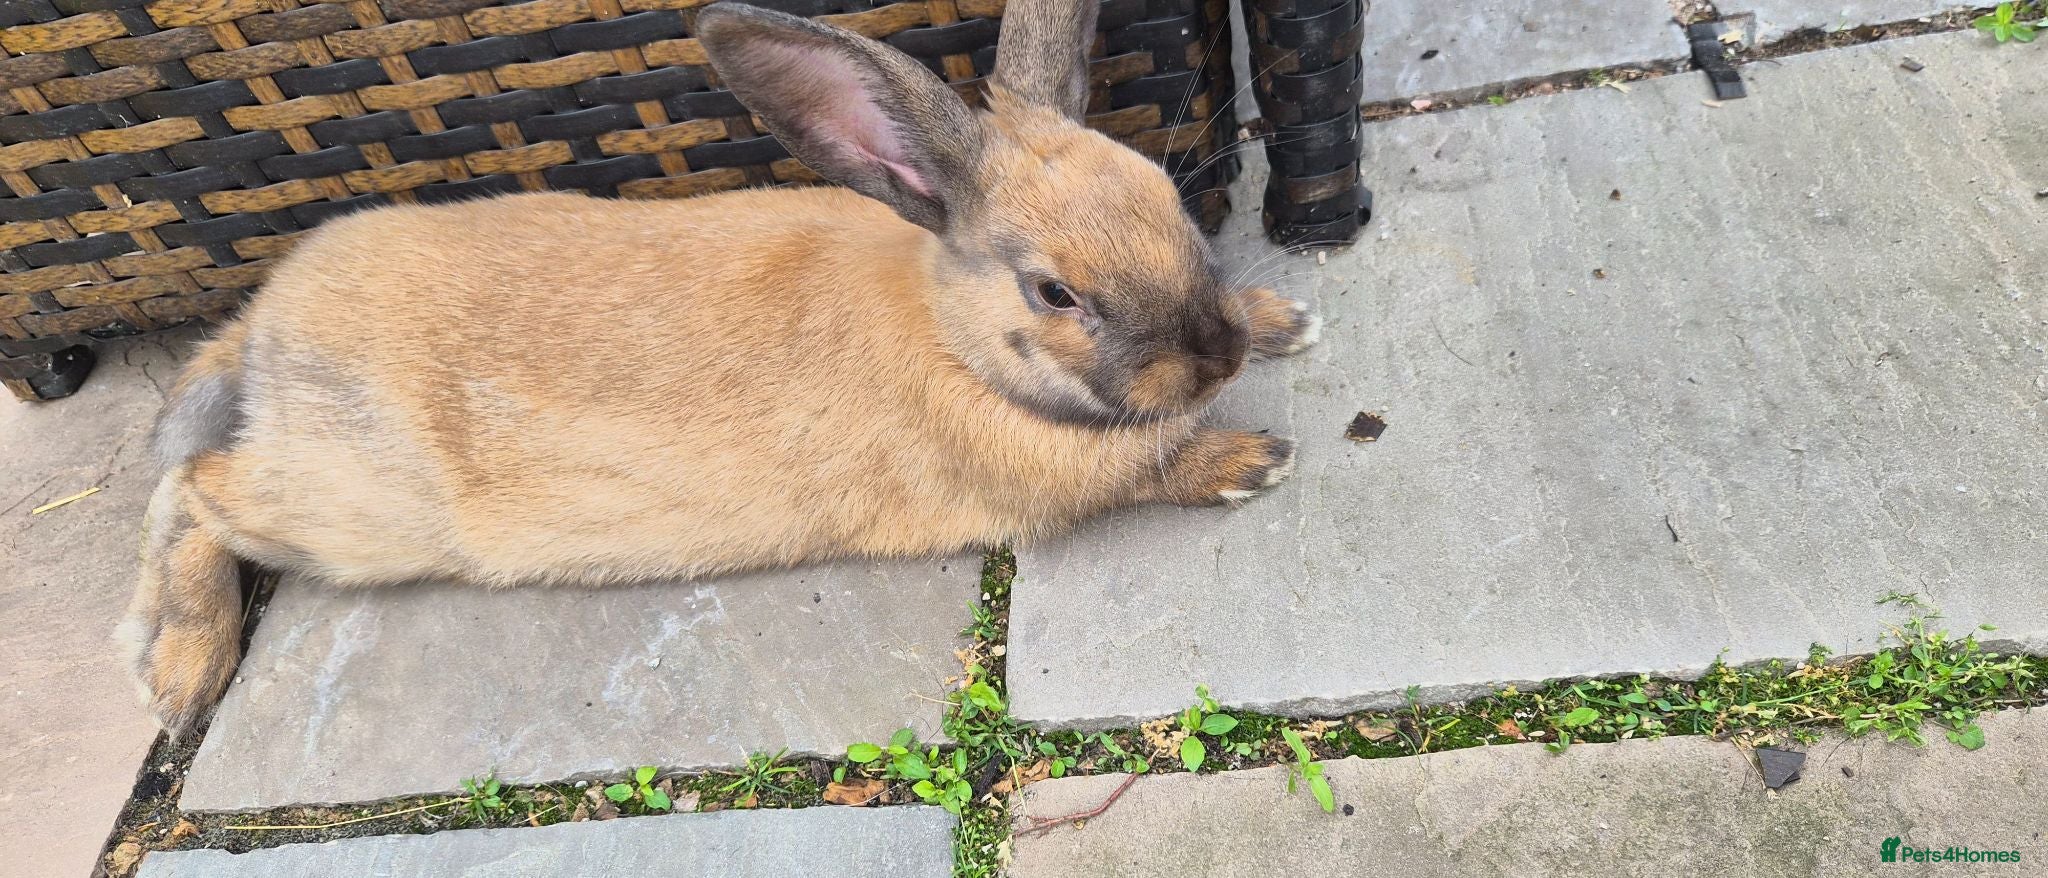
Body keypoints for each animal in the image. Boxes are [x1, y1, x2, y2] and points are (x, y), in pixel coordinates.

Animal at [119, 0, 1321, 736]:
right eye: (1054, 294)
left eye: (1170, 200)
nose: (1213, 354)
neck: (953, 338)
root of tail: (261, 330)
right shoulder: (1062, 477)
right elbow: (1147, 468)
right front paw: (1251, 459)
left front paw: (1283, 319)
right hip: (350, 511)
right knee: (195, 492)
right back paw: (177, 677)